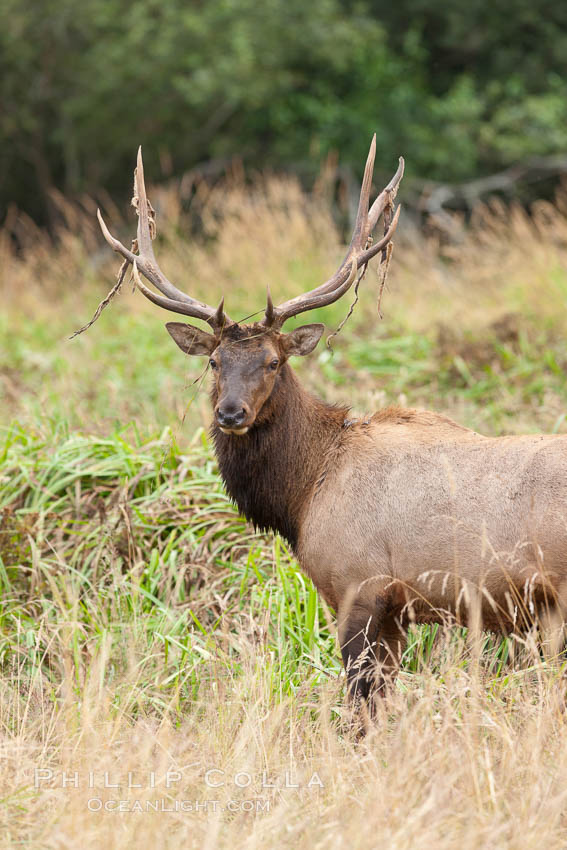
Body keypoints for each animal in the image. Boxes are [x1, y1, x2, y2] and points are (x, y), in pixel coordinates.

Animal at [77, 141, 567, 716]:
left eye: (273, 361)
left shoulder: (359, 587)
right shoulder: (395, 610)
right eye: (216, 361)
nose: (231, 414)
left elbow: (360, 707)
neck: (304, 493)